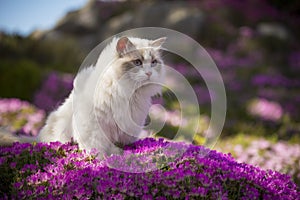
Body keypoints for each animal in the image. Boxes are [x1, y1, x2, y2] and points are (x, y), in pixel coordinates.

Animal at [0, 37, 165, 156]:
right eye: (137, 62)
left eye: (154, 62)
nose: (149, 73)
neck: (129, 93)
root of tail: (38, 138)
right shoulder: (95, 126)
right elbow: (96, 148)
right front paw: (102, 162)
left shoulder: (126, 128)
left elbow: (117, 145)